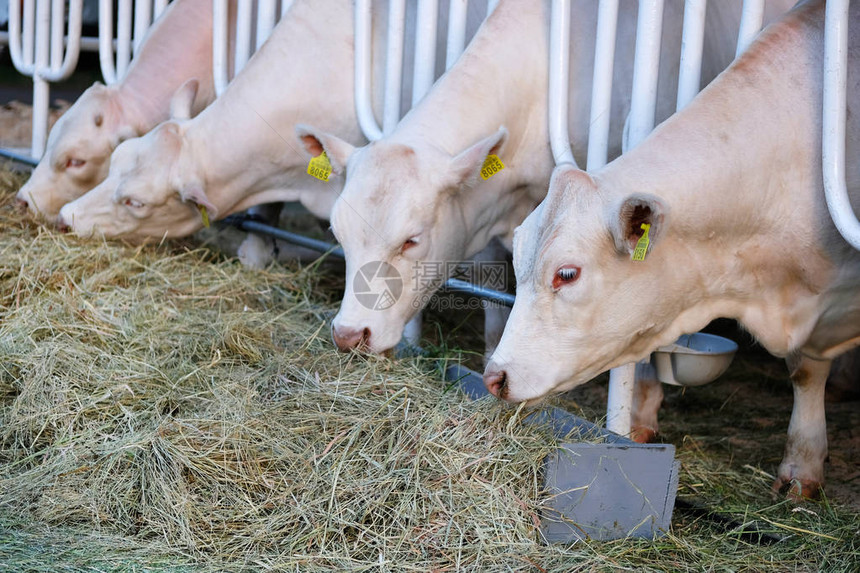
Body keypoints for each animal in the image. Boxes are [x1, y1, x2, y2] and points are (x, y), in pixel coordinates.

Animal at [488, 0, 856, 500]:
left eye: (567, 273)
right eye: (517, 260)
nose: (494, 376)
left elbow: (806, 371)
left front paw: (802, 471)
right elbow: (804, 369)